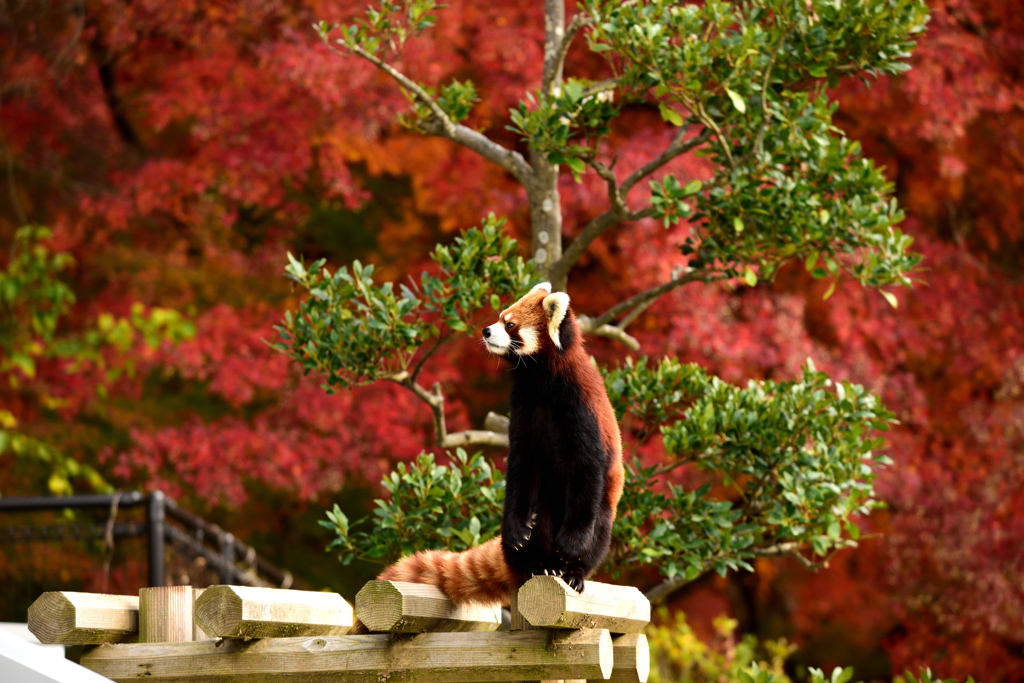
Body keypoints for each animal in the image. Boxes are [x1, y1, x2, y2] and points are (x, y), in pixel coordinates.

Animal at [372, 282, 618, 610]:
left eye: (510, 324)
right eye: (500, 317)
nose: (487, 330)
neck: (540, 378)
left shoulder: (580, 408)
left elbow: (587, 468)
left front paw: (573, 544)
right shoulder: (524, 408)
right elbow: (521, 467)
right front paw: (518, 530)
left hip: (604, 511)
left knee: (599, 526)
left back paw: (573, 571)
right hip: (539, 509)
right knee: (537, 516)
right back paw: (536, 565)